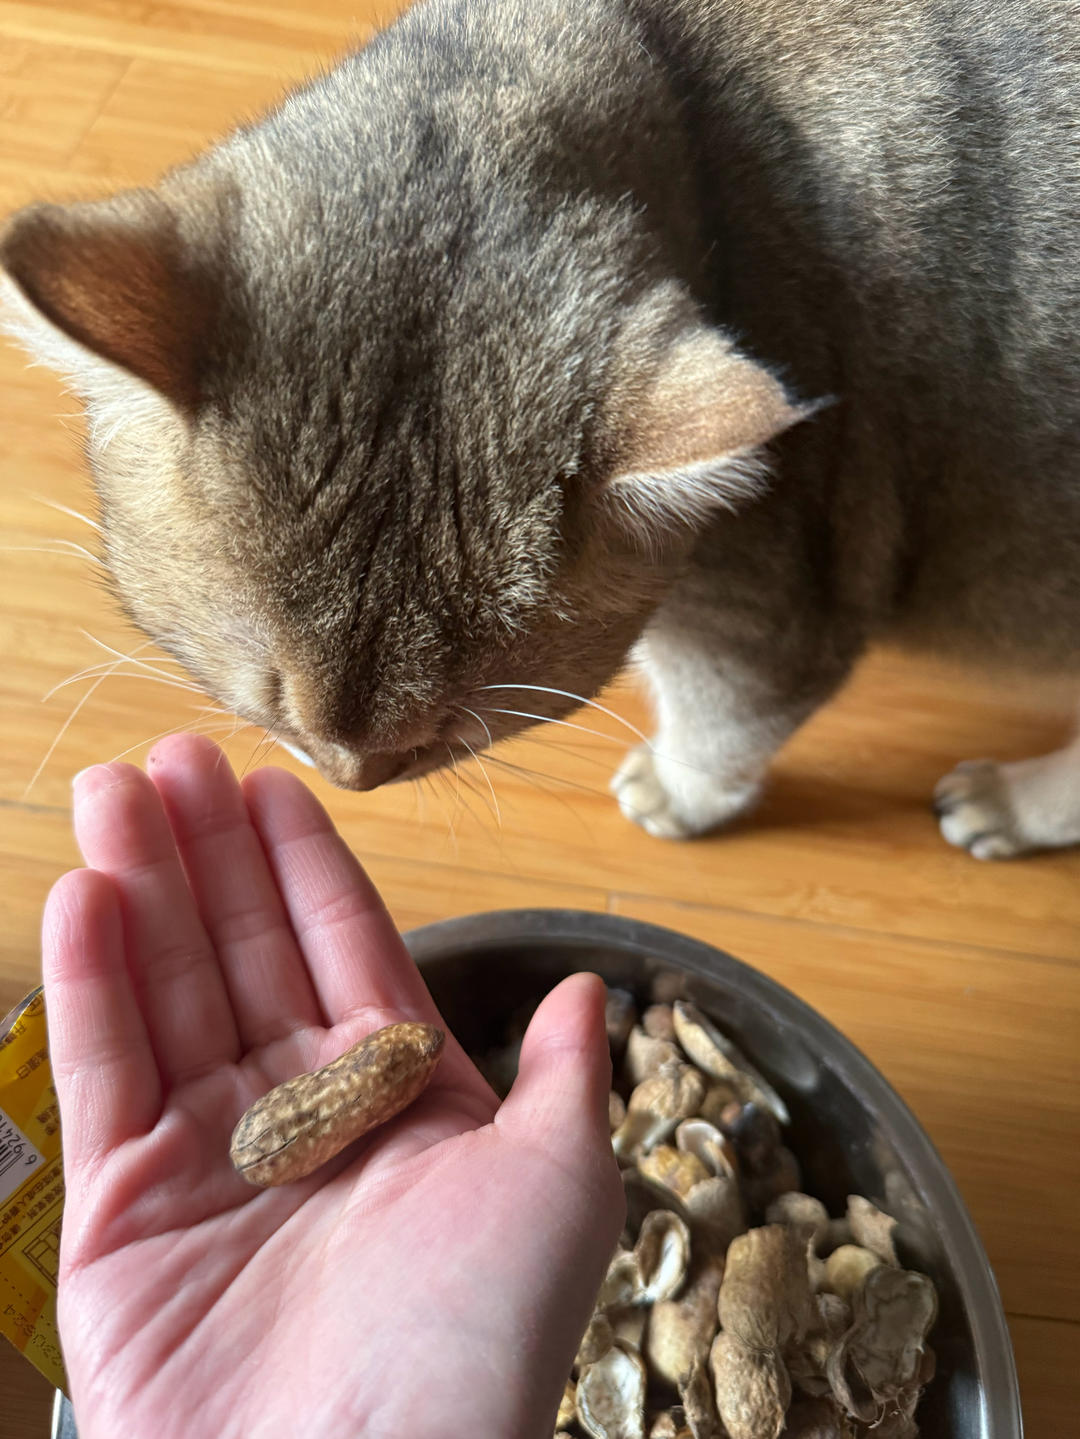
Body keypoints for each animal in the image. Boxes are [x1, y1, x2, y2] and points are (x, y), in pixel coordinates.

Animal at [2, 0, 1080, 851]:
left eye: (442, 732)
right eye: (269, 701)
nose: (352, 778)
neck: (690, 128)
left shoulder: (773, 609)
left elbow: (724, 725)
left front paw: (682, 791)